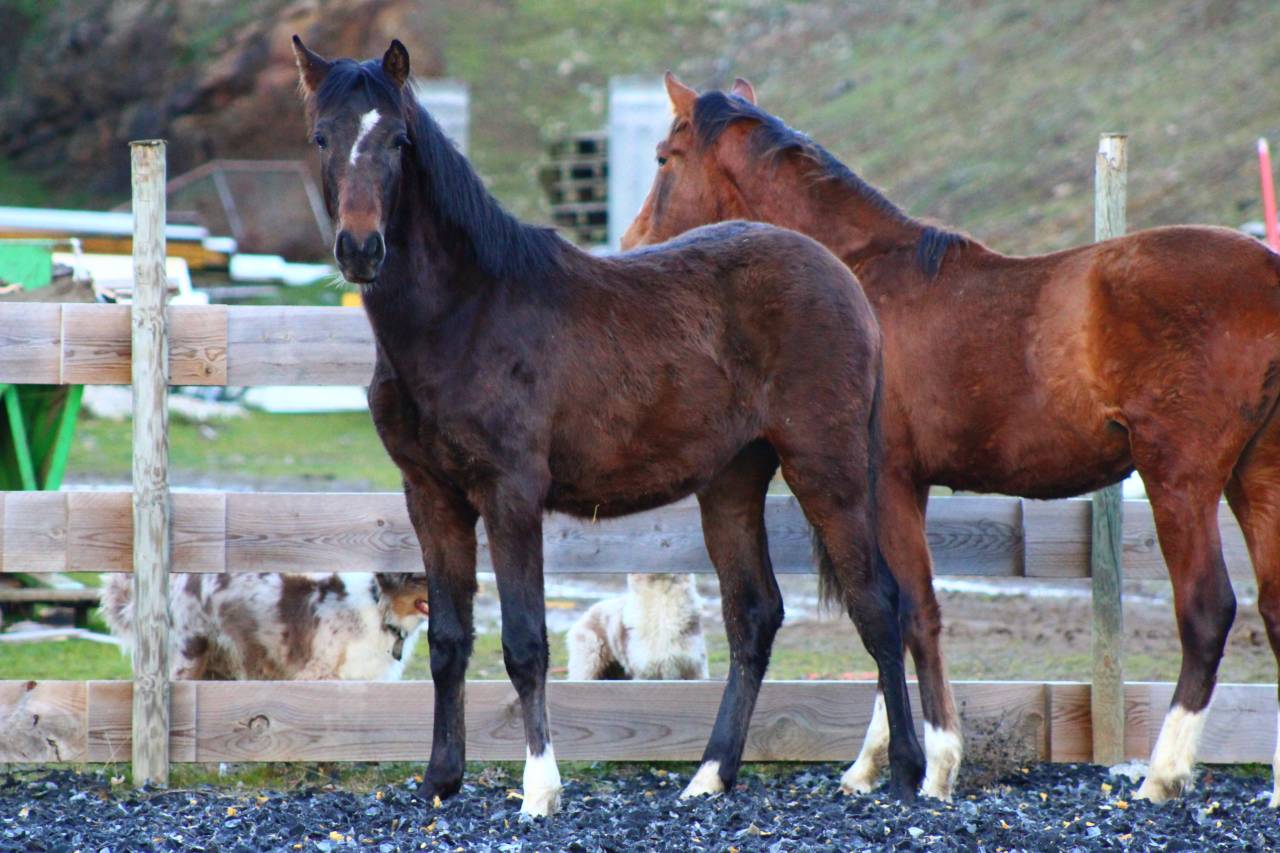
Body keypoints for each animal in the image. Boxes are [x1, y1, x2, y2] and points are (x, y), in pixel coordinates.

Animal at [291, 38, 926, 815]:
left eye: (398, 141)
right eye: (322, 137)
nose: (360, 248)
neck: (466, 314)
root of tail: (844, 281)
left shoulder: (510, 496)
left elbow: (525, 642)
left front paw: (540, 789)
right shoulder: (432, 497)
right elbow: (448, 638)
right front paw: (441, 779)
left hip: (827, 471)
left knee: (879, 604)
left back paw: (901, 770)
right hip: (734, 481)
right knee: (754, 614)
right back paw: (710, 774)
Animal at [622, 73, 1280, 807]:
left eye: (663, 158)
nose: (631, 242)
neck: (858, 279)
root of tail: (1267, 271)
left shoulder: (888, 483)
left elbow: (910, 612)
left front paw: (934, 764)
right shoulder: (905, 490)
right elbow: (898, 611)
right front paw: (875, 762)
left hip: (1180, 481)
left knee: (1207, 611)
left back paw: (1161, 774)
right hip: (1256, 478)